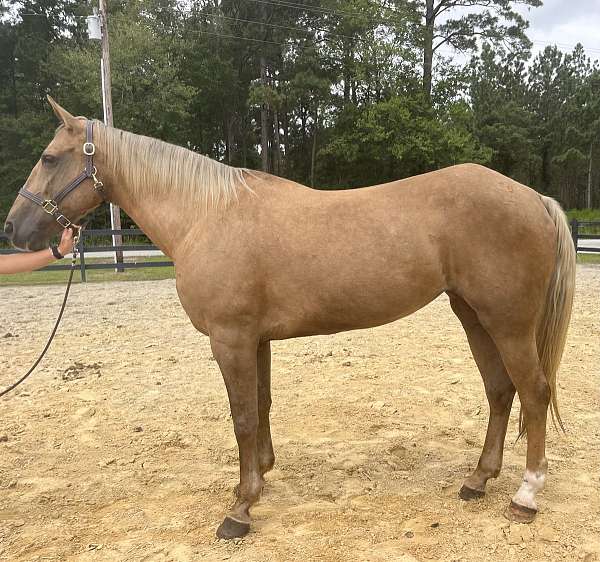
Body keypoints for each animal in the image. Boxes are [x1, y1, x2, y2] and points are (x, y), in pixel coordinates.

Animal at [5, 98, 576, 536]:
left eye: (49, 158)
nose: (14, 229)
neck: (206, 215)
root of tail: (534, 197)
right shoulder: (255, 340)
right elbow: (260, 407)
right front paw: (260, 477)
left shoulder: (230, 339)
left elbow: (240, 415)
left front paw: (239, 509)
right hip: (474, 315)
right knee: (500, 391)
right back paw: (477, 480)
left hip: (508, 322)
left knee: (533, 392)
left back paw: (526, 495)